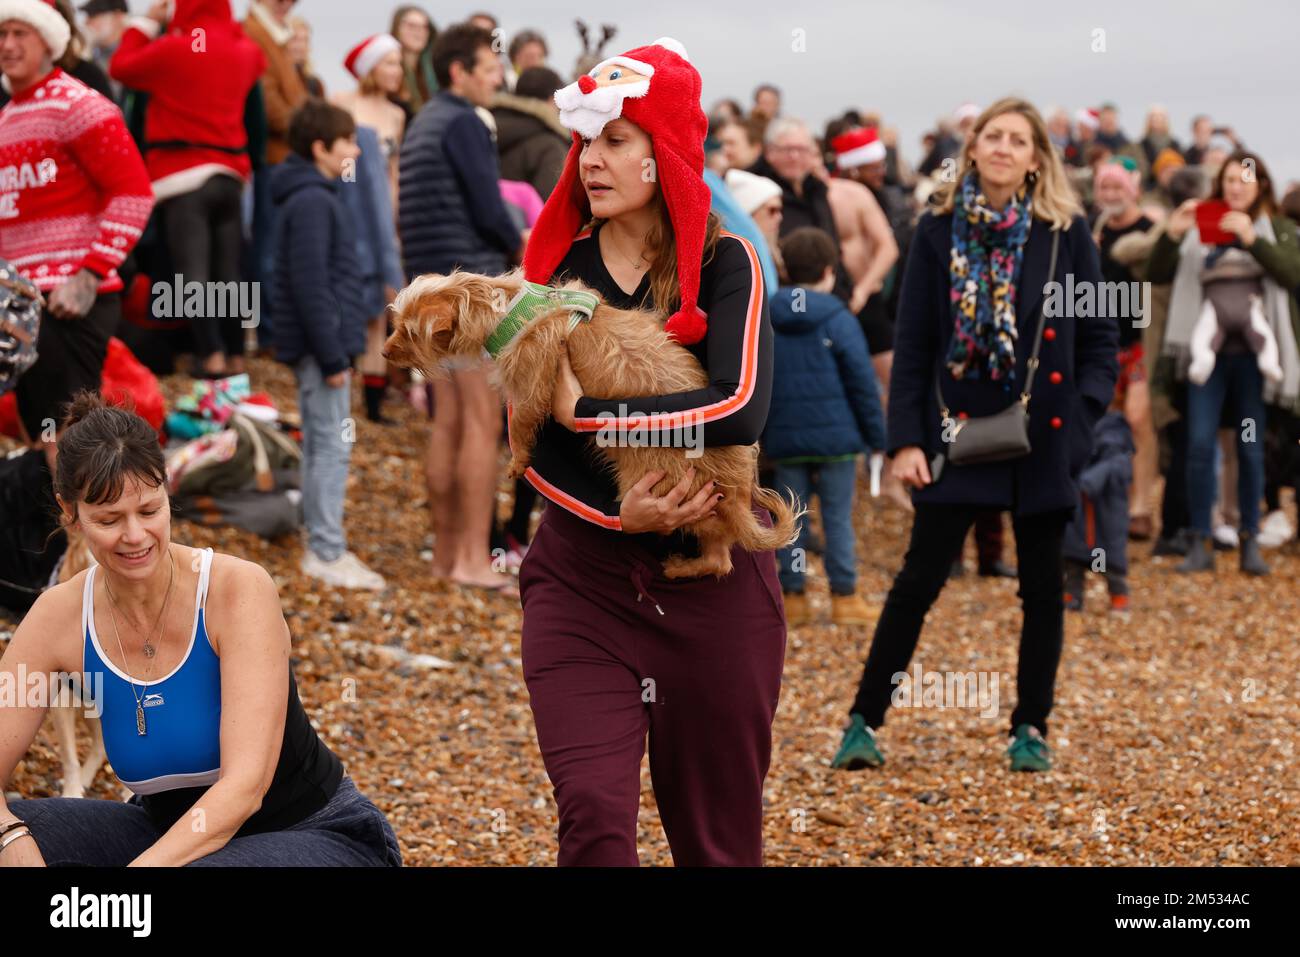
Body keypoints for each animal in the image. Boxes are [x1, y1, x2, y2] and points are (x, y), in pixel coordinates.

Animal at [379, 269, 795, 582]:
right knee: (721, 558)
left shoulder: (531, 385)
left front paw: (517, 460)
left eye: (409, 332)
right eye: (396, 325)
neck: (503, 307)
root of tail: (738, 492)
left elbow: (523, 424)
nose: (383, 352)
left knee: (711, 549)